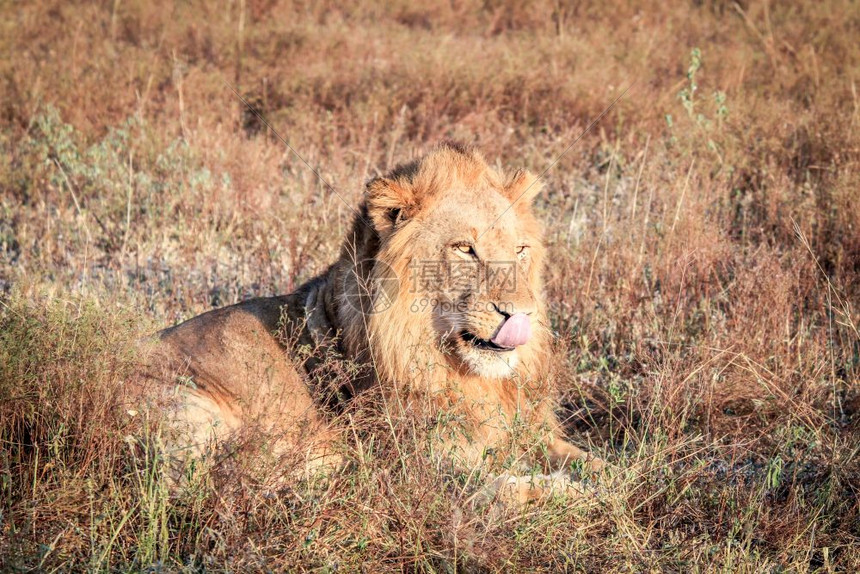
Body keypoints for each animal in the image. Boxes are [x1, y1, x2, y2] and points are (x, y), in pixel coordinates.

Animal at [136, 143, 604, 504]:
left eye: (521, 250)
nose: (522, 314)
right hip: (188, 403)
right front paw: (578, 493)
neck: (467, 377)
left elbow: (592, 461)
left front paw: (611, 477)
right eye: (464, 249)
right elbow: (507, 487)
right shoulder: (418, 467)